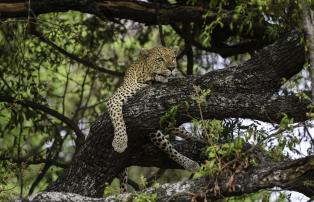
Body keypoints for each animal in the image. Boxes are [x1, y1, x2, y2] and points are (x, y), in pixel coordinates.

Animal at [106, 45, 200, 174]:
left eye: (173, 58)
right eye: (160, 59)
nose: (172, 68)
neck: (147, 78)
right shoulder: (115, 98)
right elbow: (118, 119)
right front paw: (120, 142)